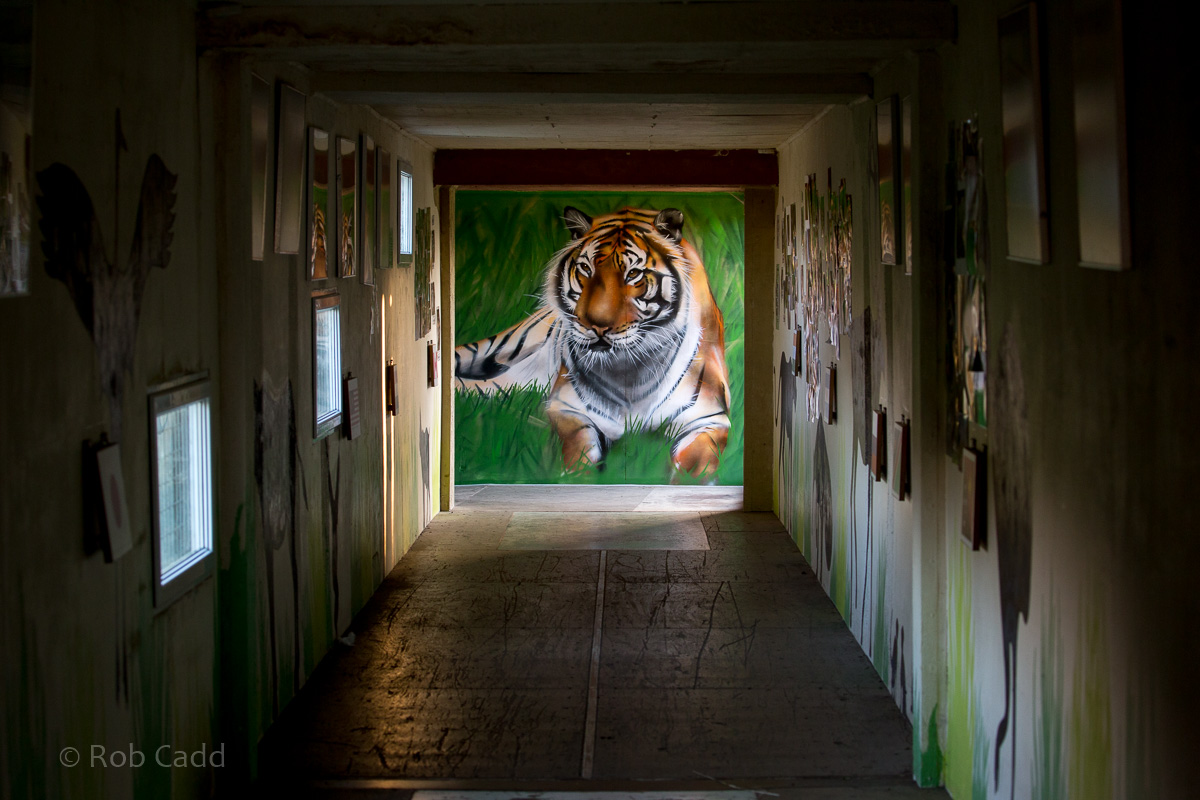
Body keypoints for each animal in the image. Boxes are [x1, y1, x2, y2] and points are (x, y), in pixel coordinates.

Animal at [454, 206, 731, 478]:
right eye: (586, 269)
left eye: (633, 274)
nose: (596, 325)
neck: (631, 372)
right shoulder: (567, 408)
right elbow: (579, 450)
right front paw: (574, 477)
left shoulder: (708, 418)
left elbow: (693, 464)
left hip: (509, 384)